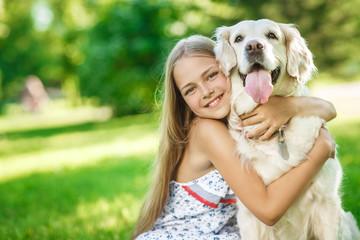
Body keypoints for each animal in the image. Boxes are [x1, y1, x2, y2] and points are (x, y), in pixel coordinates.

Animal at [215, 19, 358, 240]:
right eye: (238, 38)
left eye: (272, 35)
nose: (254, 46)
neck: (277, 133)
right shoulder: (250, 214)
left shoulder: (327, 202)